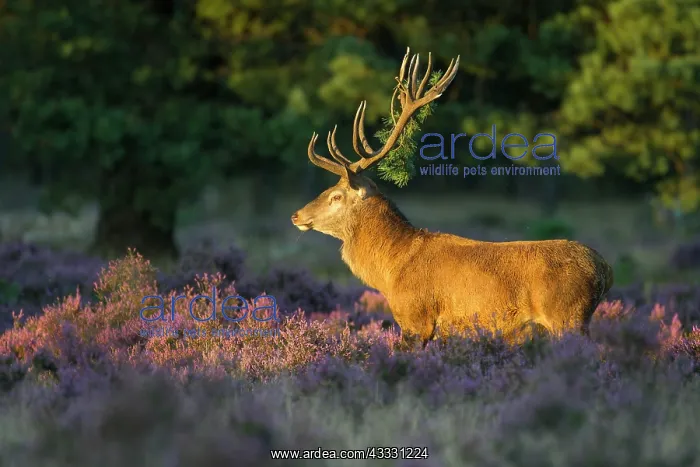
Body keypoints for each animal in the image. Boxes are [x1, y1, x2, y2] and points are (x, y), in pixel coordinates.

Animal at [291, 48, 614, 346]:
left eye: (336, 196)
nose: (296, 215)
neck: (392, 269)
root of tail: (605, 270)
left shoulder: (416, 319)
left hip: (568, 317)